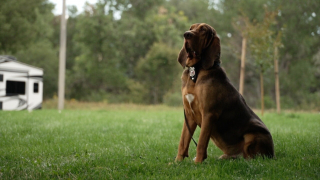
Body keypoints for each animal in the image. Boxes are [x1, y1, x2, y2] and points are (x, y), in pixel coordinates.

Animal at [176, 23, 274, 163]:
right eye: (191, 28)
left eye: (203, 30)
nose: (186, 34)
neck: (196, 71)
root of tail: (273, 153)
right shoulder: (189, 114)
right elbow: (183, 141)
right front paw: (176, 162)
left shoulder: (209, 114)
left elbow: (201, 143)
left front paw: (197, 163)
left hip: (252, 135)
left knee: (252, 157)